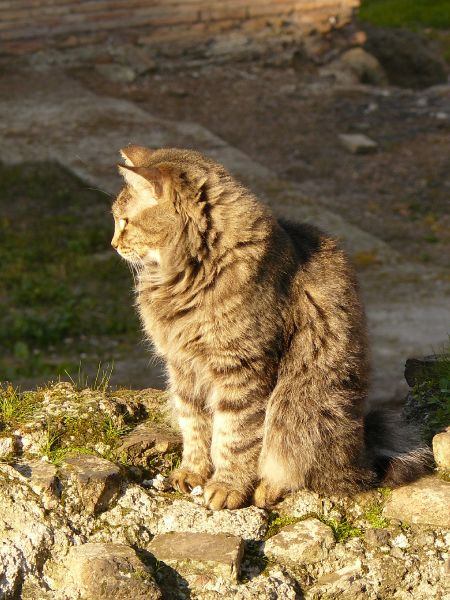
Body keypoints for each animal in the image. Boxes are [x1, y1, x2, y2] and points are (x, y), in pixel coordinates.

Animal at [111, 145, 432, 510]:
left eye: (124, 221)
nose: (113, 243)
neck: (185, 278)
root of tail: (358, 455)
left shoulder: (242, 366)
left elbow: (233, 436)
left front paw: (227, 486)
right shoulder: (182, 365)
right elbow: (194, 424)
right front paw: (193, 472)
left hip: (299, 407)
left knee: (295, 465)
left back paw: (268, 487)